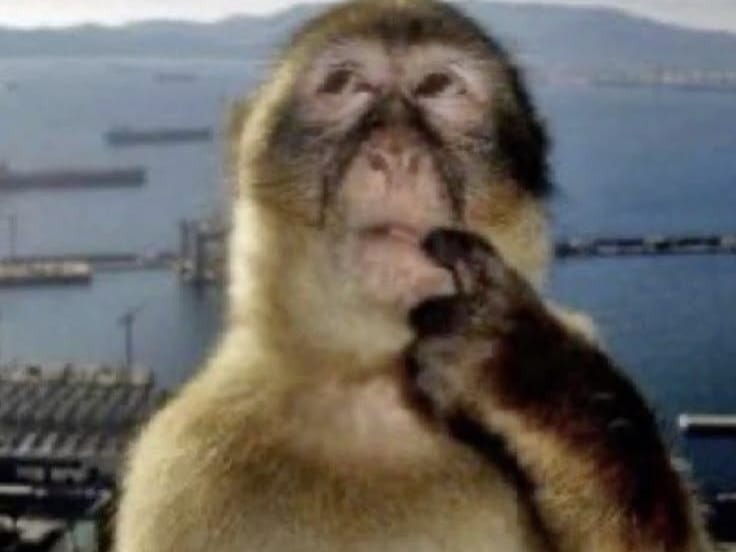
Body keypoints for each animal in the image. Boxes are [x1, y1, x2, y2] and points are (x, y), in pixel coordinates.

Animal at [114, 1, 714, 551]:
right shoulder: (179, 467)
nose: (396, 153)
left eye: (439, 86)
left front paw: (527, 374)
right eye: (344, 83)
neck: (375, 389)